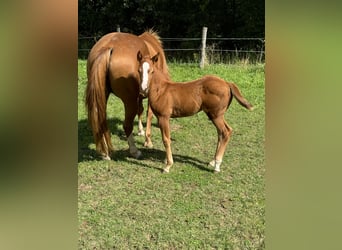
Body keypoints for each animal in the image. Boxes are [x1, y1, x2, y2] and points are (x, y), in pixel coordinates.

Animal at [85, 30, 168, 160]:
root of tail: (109, 46)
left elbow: (141, 110)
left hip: (101, 96)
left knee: (99, 120)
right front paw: (148, 140)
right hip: (129, 102)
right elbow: (149, 114)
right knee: (127, 125)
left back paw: (105, 153)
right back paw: (134, 151)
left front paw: (141, 131)